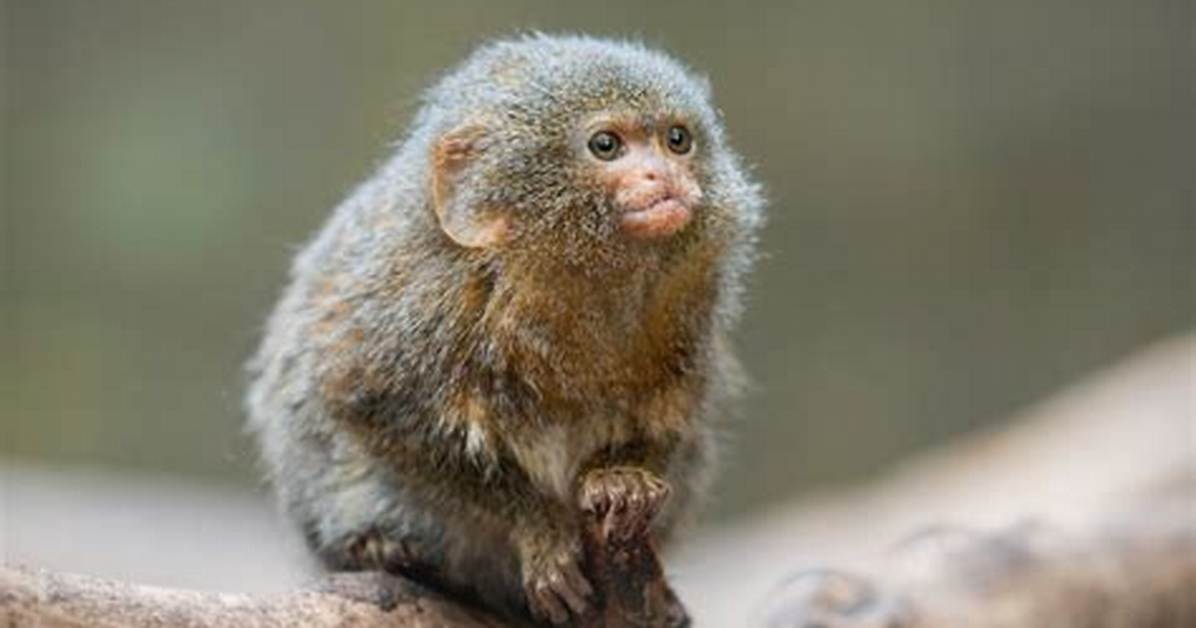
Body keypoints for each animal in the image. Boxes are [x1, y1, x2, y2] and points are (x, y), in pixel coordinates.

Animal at [245, 34, 763, 624]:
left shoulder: (691, 313)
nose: (666, 177)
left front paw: (622, 478)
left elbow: (672, 423)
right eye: (606, 145)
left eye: (678, 140)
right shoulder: (409, 317)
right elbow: (372, 412)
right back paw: (383, 551)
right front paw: (539, 529)